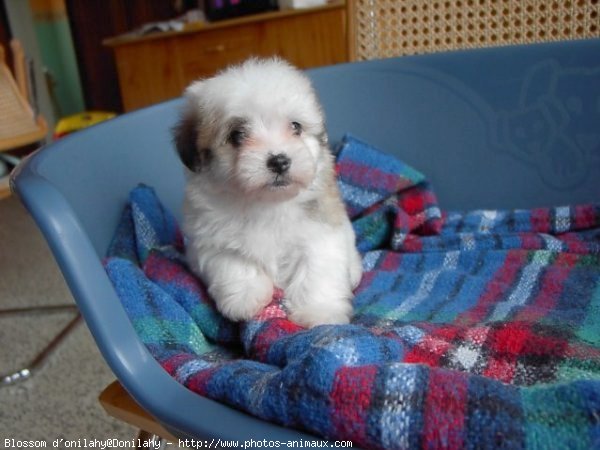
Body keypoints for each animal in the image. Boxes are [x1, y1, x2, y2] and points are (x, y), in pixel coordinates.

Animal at [171, 59, 364, 326]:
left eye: (295, 127)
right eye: (237, 135)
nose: (279, 161)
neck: (266, 202)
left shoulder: (320, 234)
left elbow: (316, 272)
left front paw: (319, 312)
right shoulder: (210, 239)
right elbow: (232, 262)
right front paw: (244, 298)